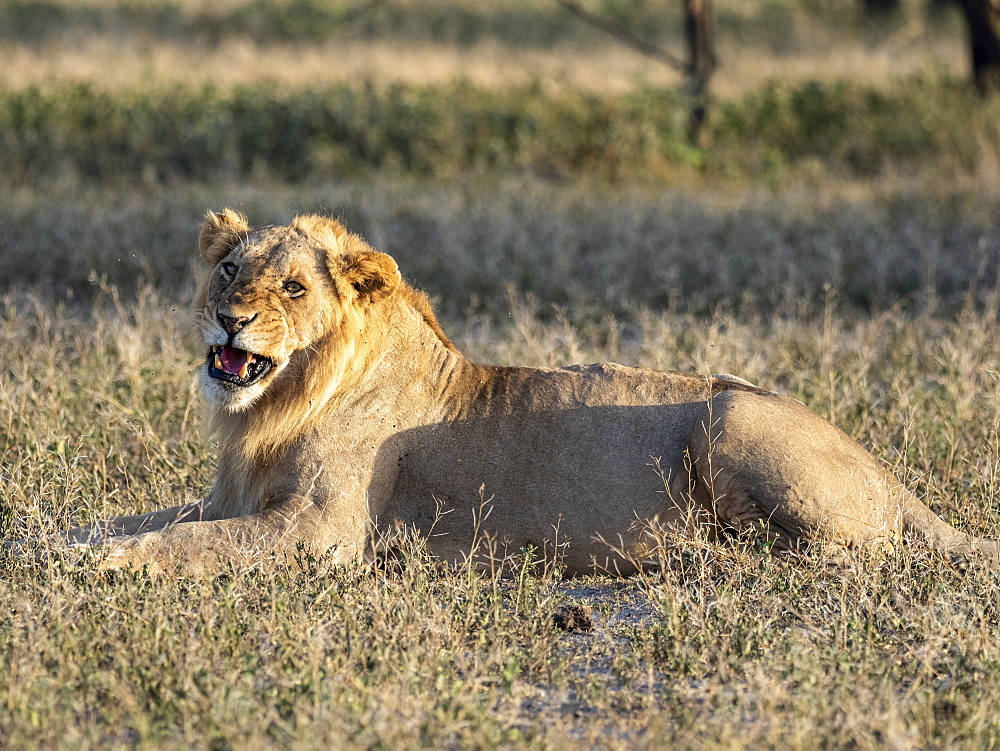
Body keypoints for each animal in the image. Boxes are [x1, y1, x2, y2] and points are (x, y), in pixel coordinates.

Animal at [56, 209, 1000, 572]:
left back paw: (692, 553)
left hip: (733, 415)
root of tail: (891, 477)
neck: (278, 408)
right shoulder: (230, 496)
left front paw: (115, 564)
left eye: (292, 287)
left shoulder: (322, 531)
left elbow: (193, 543)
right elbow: (137, 518)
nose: (229, 319)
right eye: (228, 268)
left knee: (840, 554)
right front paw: (60, 544)